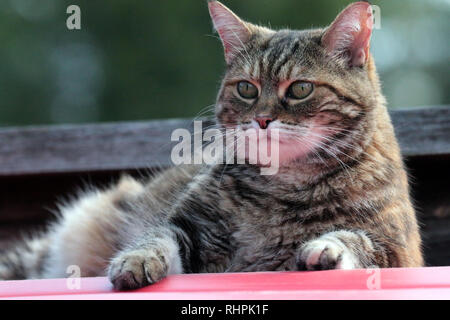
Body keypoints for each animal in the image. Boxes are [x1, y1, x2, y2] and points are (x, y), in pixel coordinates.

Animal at [0, 0, 422, 290]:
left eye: (301, 89)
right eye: (247, 89)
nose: (262, 119)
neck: (283, 184)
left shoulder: (399, 251)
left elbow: (356, 241)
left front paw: (327, 251)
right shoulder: (189, 224)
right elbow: (156, 239)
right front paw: (135, 261)